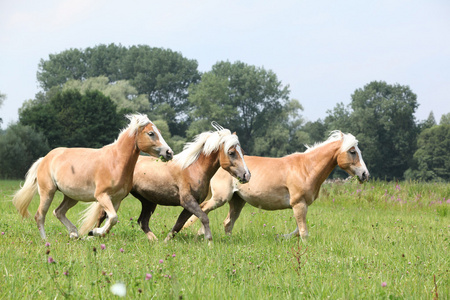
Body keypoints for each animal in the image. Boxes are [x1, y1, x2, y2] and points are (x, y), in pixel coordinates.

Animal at [11, 112, 174, 239]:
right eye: (151, 133)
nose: (169, 153)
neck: (115, 162)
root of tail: (45, 158)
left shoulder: (117, 200)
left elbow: (111, 220)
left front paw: (94, 232)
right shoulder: (101, 196)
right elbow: (113, 218)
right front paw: (93, 232)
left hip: (71, 197)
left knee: (58, 212)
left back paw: (74, 234)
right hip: (48, 193)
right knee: (40, 215)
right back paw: (46, 241)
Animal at [86, 123, 251, 243]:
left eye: (242, 151)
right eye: (231, 152)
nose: (247, 175)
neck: (193, 169)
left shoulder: (190, 205)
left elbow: (179, 224)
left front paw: (166, 241)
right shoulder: (187, 201)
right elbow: (204, 217)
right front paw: (209, 241)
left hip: (148, 201)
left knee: (142, 221)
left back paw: (154, 241)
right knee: (103, 215)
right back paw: (94, 234)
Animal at [183, 131, 370, 239]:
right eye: (352, 151)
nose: (365, 174)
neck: (306, 168)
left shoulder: (302, 205)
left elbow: (298, 230)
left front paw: (282, 237)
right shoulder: (298, 204)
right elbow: (303, 232)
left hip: (237, 201)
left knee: (228, 223)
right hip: (220, 198)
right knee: (203, 209)